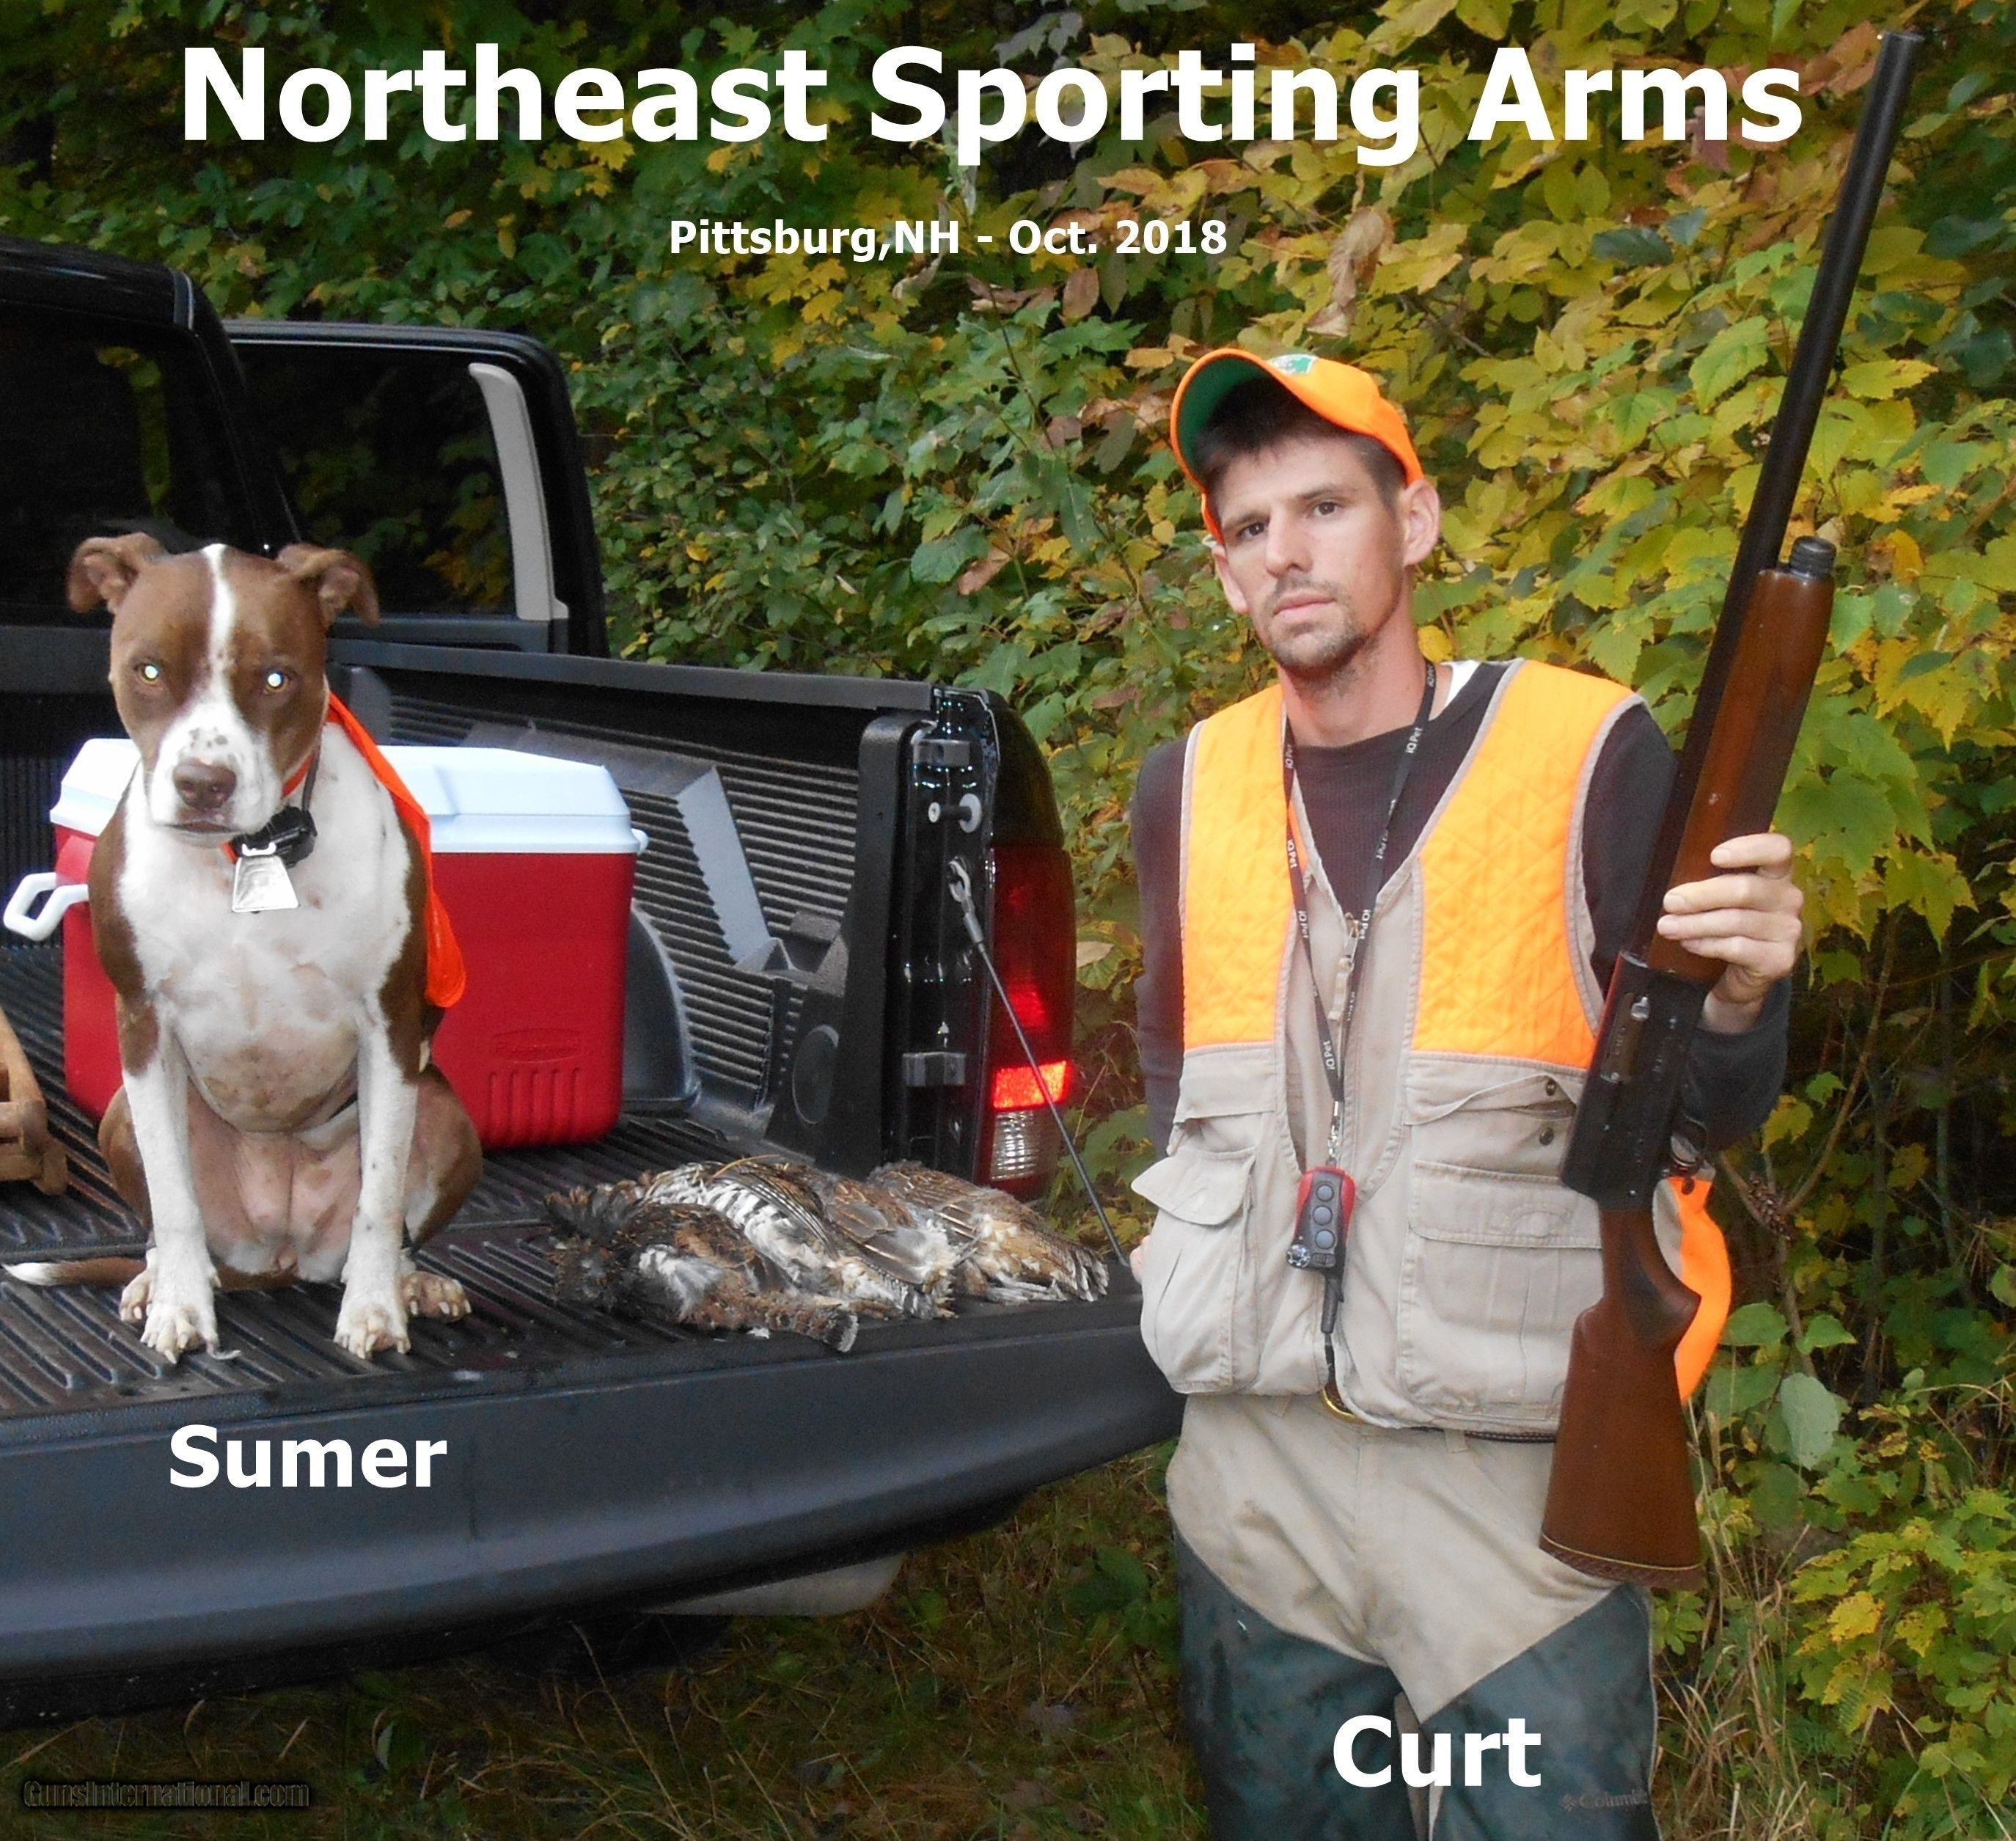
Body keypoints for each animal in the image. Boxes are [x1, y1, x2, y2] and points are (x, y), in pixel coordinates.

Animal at [15, 534, 482, 1362]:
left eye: (275, 677)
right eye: (149, 670)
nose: (204, 782)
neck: (248, 854)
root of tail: (281, 1254)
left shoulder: (388, 1027)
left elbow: (380, 1195)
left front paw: (374, 1309)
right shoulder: (144, 1024)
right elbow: (174, 1200)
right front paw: (179, 1308)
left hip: (443, 1111)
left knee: (393, 1220)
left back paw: (412, 1283)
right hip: (119, 1115)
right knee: (169, 1228)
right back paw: (158, 1281)